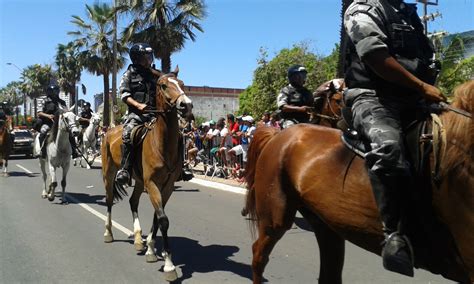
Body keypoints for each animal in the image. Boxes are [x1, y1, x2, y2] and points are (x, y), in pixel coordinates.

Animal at [101, 67, 193, 282]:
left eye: (182, 84)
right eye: (164, 85)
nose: (186, 105)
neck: (162, 142)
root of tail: (109, 131)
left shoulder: (166, 186)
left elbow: (158, 217)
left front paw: (151, 249)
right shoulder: (152, 184)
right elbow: (163, 219)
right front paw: (169, 265)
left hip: (139, 181)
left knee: (133, 202)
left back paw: (137, 238)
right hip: (109, 174)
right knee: (109, 201)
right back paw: (108, 233)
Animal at [244, 80, 474, 284]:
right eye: (338, 98)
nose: (345, 119)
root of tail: (278, 135)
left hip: (327, 225)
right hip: (275, 217)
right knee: (258, 256)